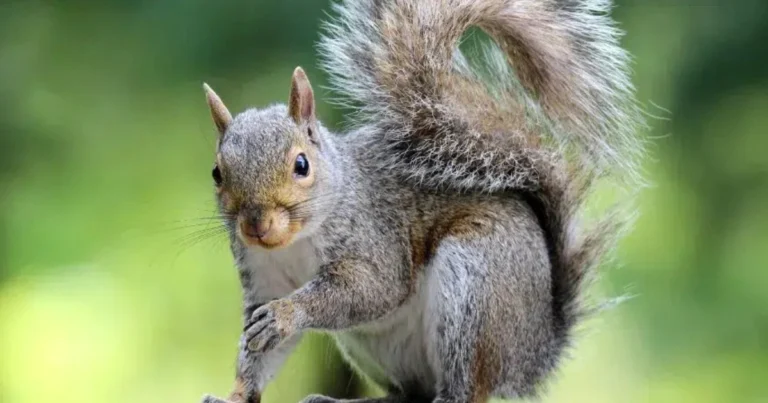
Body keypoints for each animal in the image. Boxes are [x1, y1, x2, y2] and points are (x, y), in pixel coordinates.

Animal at [199, 0, 644, 402]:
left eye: (301, 165)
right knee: (409, 392)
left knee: (465, 389)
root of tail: (533, 353)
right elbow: (258, 353)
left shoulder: (374, 237)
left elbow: (369, 289)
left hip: (475, 288)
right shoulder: (263, 279)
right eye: (217, 173)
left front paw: (287, 315)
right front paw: (235, 395)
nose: (256, 225)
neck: (295, 242)